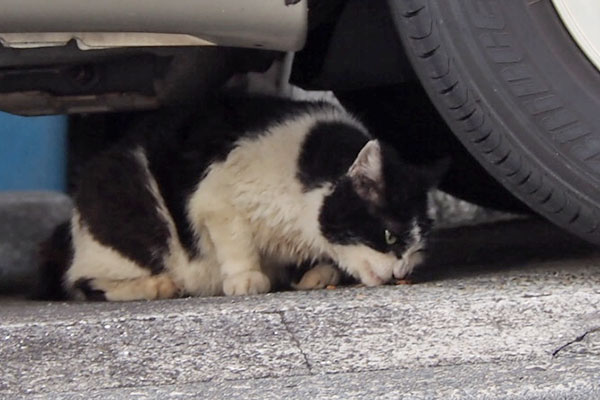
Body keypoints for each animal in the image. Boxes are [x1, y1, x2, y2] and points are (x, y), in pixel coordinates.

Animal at [35, 94, 442, 300]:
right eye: (389, 235)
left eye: (418, 250)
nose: (402, 272)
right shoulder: (214, 198)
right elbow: (235, 238)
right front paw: (246, 278)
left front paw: (316, 272)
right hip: (128, 212)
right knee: (84, 283)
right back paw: (157, 286)